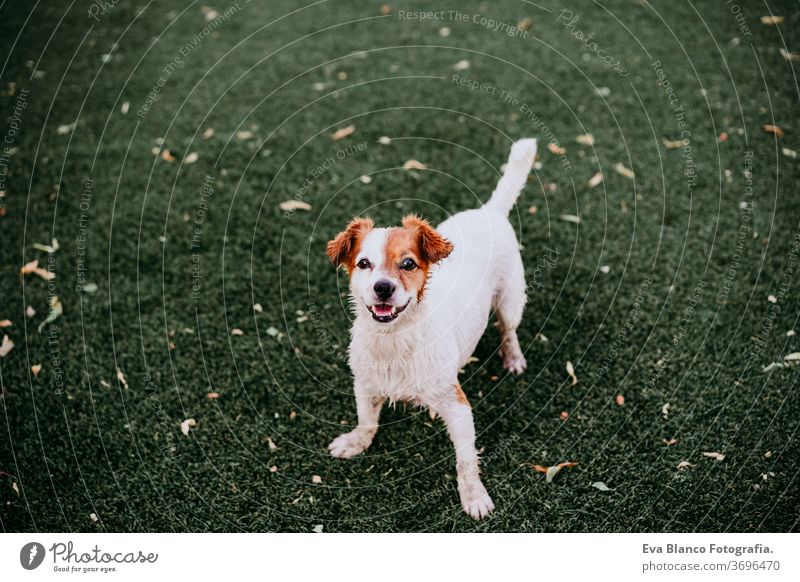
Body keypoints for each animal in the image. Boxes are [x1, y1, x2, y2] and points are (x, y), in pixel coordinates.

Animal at [324, 138, 536, 520]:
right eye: (363, 263)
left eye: (408, 264)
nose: (382, 288)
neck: (394, 340)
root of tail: (489, 212)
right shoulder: (365, 384)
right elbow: (366, 421)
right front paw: (356, 442)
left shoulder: (458, 406)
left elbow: (465, 461)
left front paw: (474, 497)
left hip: (511, 300)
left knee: (508, 329)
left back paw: (513, 358)